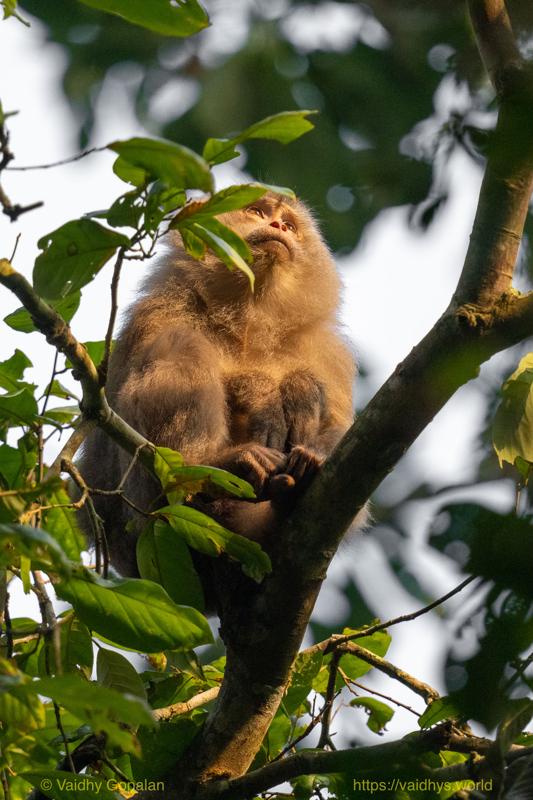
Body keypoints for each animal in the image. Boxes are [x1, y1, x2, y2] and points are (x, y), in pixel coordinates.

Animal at [78, 191, 357, 603]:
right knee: (181, 347)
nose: (277, 225)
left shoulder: (330, 352)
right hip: (138, 521)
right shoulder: (160, 308)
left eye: (289, 225)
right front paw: (260, 391)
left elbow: (345, 429)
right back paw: (219, 467)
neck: (251, 316)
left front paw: (301, 398)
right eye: (256, 211)